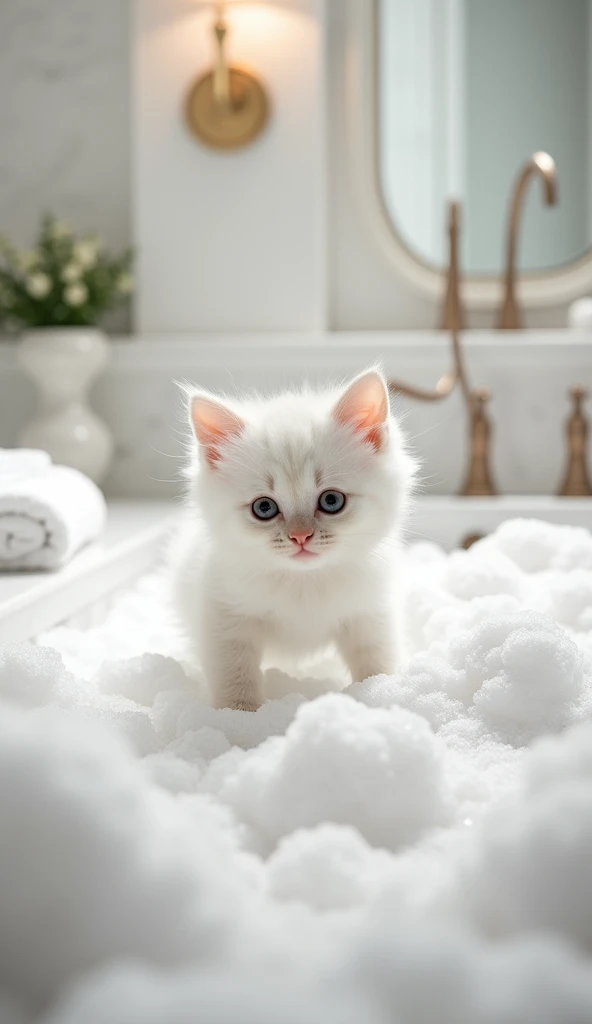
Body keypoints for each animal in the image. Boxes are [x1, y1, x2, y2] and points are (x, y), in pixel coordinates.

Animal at [168, 368, 413, 712]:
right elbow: (233, 670)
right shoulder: (225, 613)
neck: (303, 582)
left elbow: (376, 658)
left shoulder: (369, 610)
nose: (300, 536)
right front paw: (238, 716)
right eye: (264, 508)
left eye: (332, 501)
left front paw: (382, 695)